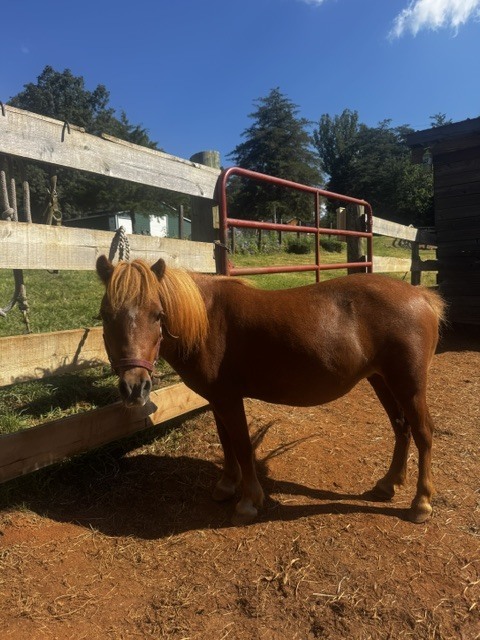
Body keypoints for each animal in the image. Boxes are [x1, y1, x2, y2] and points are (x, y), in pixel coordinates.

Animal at [96, 255, 445, 525]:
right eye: (105, 316)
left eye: (158, 314)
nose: (134, 387)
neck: (206, 321)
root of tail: (422, 297)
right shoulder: (217, 399)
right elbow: (226, 443)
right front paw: (227, 485)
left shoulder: (229, 399)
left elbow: (242, 445)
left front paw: (248, 501)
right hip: (381, 381)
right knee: (401, 429)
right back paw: (388, 485)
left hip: (409, 385)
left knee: (423, 433)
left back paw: (421, 503)